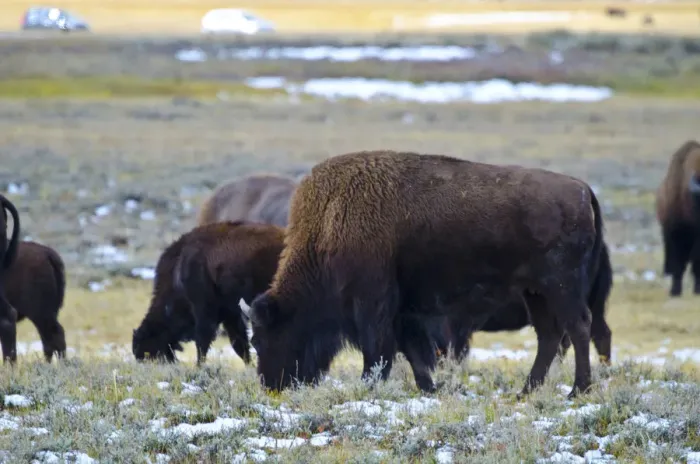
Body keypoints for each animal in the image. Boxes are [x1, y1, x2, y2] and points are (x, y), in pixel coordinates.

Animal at [246, 150, 606, 399]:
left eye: (262, 338)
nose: (272, 386)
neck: (329, 222)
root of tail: (583, 190)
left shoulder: (372, 304)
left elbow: (377, 351)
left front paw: (369, 386)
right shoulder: (402, 311)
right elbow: (411, 351)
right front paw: (429, 387)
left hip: (561, 286)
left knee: (578, 327)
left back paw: (578, 390)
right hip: (536, 292)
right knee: (549, 335)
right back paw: (526, 391)